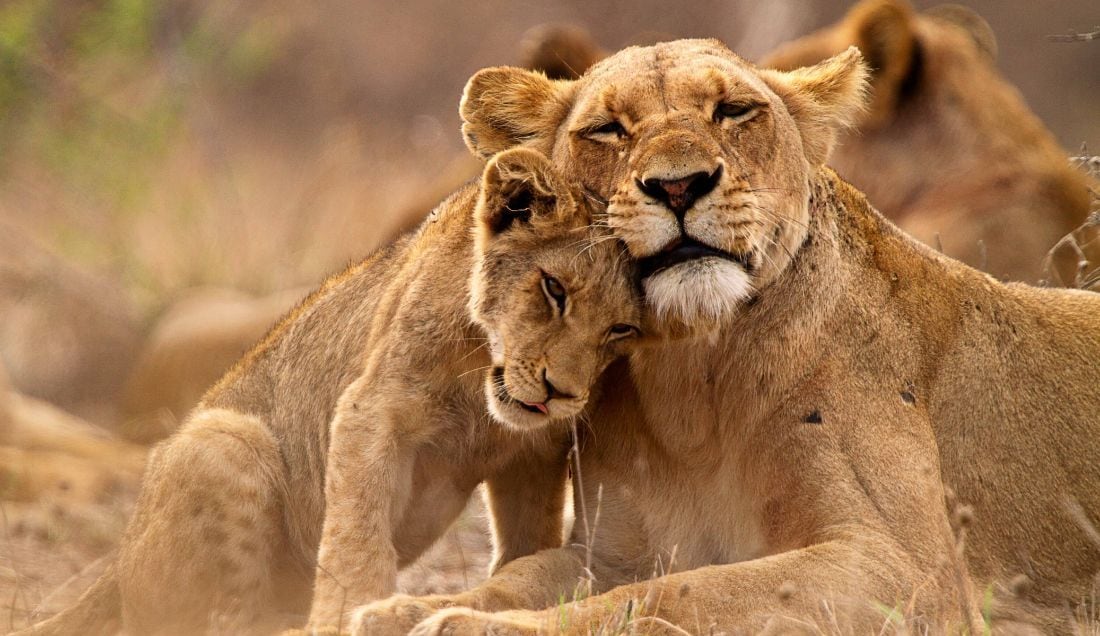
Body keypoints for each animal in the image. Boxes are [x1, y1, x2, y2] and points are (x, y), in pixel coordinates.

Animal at [17, 148, 642, 636]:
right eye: (554, 288)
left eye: (621, 330)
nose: (560, 393)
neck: (481, 384)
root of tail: (117, 561)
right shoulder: (373, 409)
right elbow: (356, 535)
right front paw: (348, 617)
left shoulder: (534, 452)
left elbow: (527, 542)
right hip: (225, 439)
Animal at [350, 40, 1100, 635]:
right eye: (607, 129)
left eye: (734, 111)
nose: (679, 185)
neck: (693, 382)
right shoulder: (610, 552)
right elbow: (525, 574)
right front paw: (403, 609)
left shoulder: (910, 571)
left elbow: (679, 593)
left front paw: (471, 626)